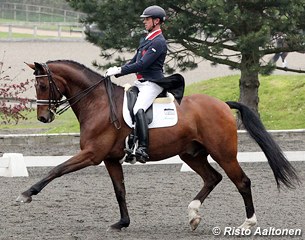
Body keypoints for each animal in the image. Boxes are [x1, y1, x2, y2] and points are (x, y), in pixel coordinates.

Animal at [16, 60, 296, 232]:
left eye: (42, 84)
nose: (43, 118)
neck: (97, 102)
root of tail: (223, 104)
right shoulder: (110, 159)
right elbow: (120, 191)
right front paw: (122, 223)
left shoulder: (92, 154)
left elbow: (57, 169)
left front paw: (26, 194)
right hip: (191, 154)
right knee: (212, 178)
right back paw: (193, 214)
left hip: (224, 153)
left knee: (242, 182)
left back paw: (247, 224)